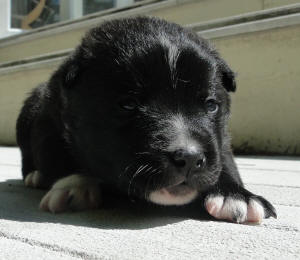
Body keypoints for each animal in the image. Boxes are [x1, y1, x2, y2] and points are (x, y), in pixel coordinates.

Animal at [17, 16, 276, 223]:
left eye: (211, 105)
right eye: (128, 104)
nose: (190, 158)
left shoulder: (219, 138)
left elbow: (223, 158)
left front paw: (235, 195)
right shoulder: (50, 118)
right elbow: (57, 154)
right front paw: (74, 184)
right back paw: (35, 176)